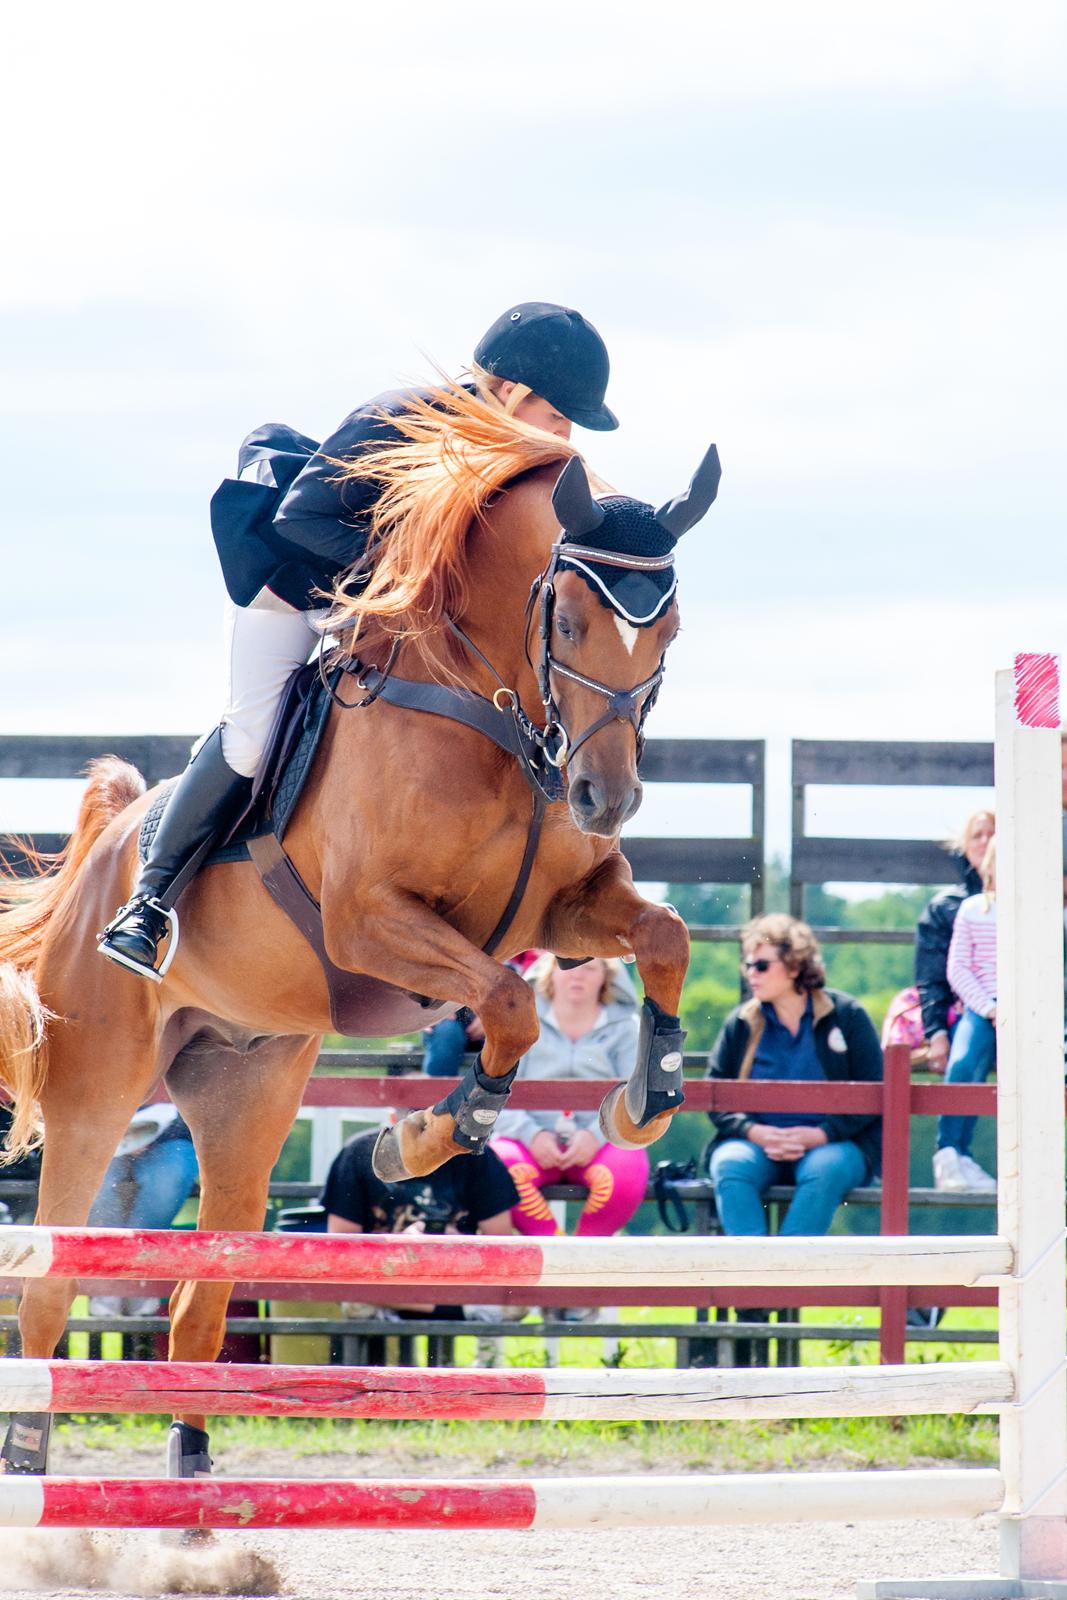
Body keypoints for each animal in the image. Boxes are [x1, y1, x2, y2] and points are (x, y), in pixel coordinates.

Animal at [0, 387, 716, 1472]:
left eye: (667, 626)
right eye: (569, 615)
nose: (606, 797)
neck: (495, 708)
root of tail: (99, 868)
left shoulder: (564, 909)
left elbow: (663, 936)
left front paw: (647, 1093)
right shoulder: (372, 924)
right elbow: (507, 1004)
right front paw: (429, 1133)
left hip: (246, 1090)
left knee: (199, 1302)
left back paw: (193, 1474)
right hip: (96, 1095)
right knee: (50, 1292)